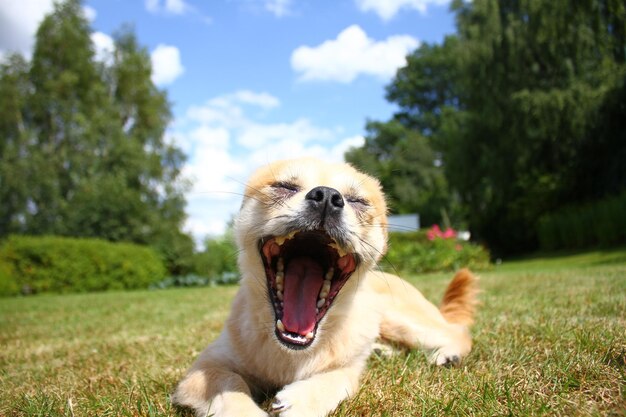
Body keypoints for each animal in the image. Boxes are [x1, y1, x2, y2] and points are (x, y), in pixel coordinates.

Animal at [173, 157, 476, 416]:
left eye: (357, 201)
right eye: (284, 186)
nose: (328, 196)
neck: (290, 354)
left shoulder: (349, 368)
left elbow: (338, 376)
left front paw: (303, 399)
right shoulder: (203, 370)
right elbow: (229, 385)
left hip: (399, 320)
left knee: (458, 334)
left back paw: (447, 354)